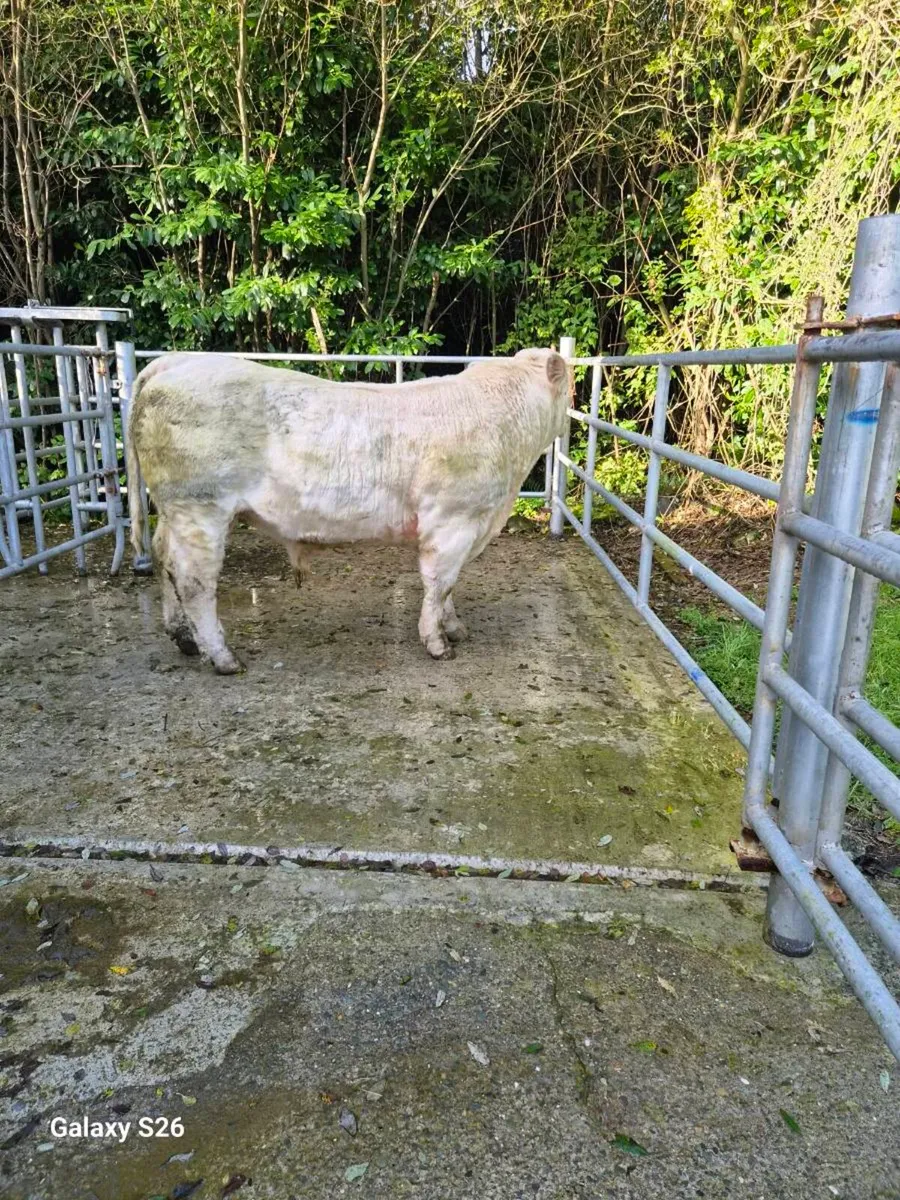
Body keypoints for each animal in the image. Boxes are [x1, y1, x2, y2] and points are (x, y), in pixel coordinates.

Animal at [125, 349, 570, 673]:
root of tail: (176, 361)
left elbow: (450, 587)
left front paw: (455, 627)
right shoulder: (452, 522)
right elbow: (439, 583)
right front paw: (438, 643)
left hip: (175, 513)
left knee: (165, 560)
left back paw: (184, 639)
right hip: (199, 507)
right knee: (194, 582)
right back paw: (224, 658)